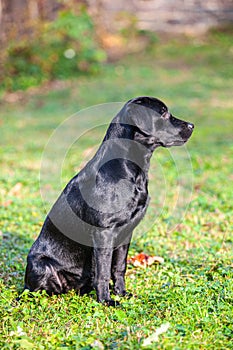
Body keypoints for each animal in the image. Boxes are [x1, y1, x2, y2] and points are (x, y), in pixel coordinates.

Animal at [24, 97, 195, 304]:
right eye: (163, 113)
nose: (192, 125)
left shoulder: (126, 231)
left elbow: (119, 267)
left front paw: (121, 293)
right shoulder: (104, 232)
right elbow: (103, 271)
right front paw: (106, 301)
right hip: (40, 265)